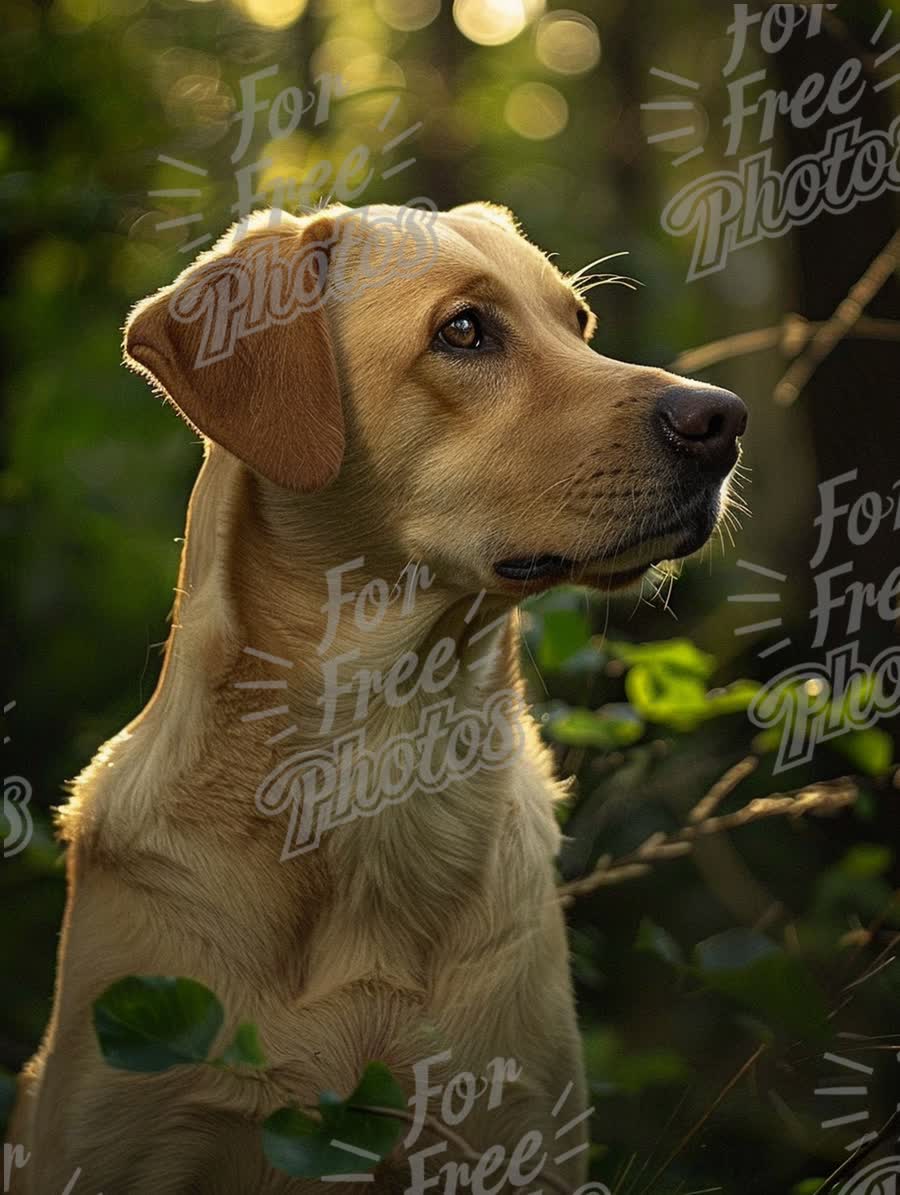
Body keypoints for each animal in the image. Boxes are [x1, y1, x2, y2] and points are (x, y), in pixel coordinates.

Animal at [10, 200, 745, 1190]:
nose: (724, 419)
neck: (380, 755)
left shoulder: (510, 1131)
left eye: (579, 324)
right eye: (464, 331)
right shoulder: (133, 1127)